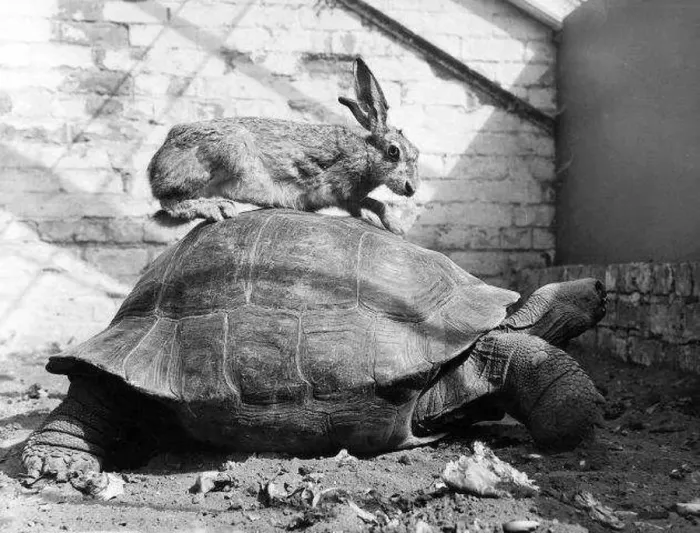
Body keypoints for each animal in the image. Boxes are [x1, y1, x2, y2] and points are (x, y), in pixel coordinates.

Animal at [147, 57, 419, 235]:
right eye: (394, 152)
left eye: (416, 154)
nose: (411, 189)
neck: (366, 155)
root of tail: (156, 164)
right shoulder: (342, 191)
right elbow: (372, 204)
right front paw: (395, 226)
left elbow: (369, 205)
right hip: (228, 152)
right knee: (170, 202)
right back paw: (217, 208)